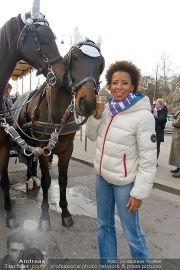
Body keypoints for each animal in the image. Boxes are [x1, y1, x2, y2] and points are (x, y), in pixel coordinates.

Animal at [1, 35, 105, 230]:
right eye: (74, 58)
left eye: (101, 64)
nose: (87, 103)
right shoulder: (44, 149)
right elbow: (47, 181)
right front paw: (44, 216)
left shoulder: (67, 150)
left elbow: (63, 179)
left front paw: (65, 212)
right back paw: (30, 179)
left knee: (31, 160)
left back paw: (31, 177)